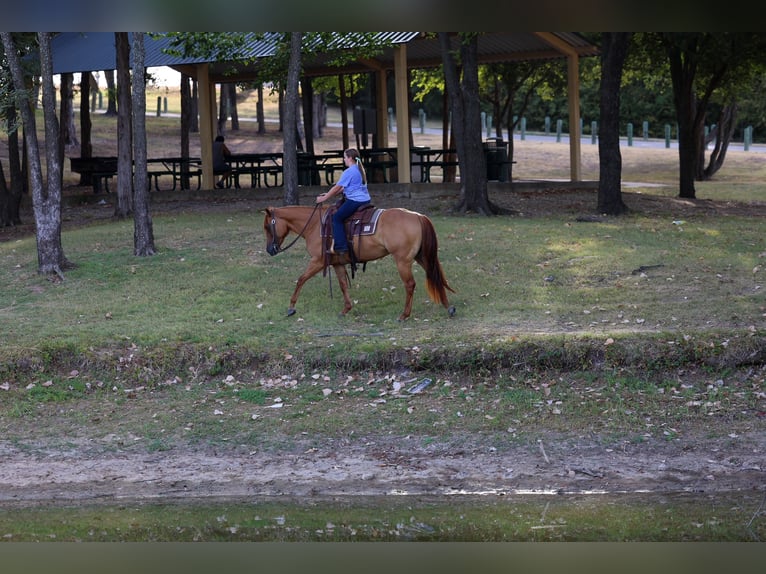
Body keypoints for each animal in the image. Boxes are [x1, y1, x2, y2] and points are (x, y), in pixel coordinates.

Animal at [262, 204, 456, 321]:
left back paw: (404, 315)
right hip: (421, 256)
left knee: (410, 284)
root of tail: (417, 216)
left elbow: (301, 279)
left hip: (402, 260)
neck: (315, 225)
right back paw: (448, 307)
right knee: (435, 275)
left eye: (267, 227)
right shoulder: (337, 263)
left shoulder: (317, 261)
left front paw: (291, 308)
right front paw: (346, 309)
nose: (270, 250)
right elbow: (343, 285)